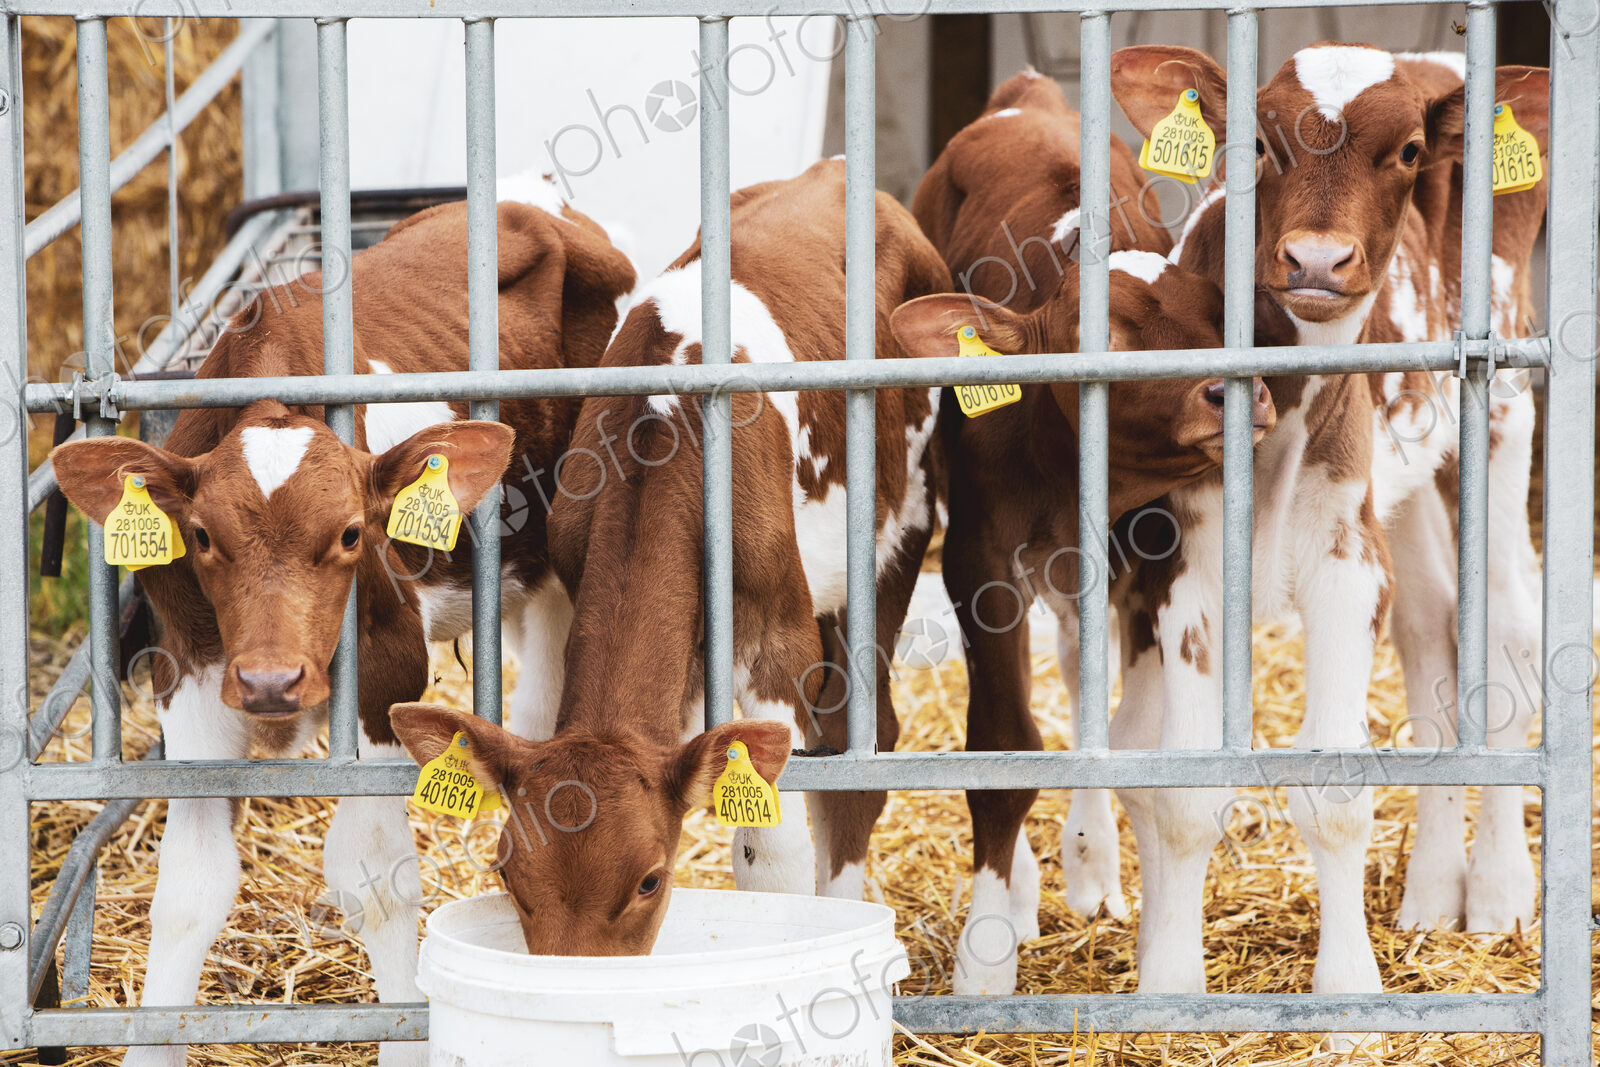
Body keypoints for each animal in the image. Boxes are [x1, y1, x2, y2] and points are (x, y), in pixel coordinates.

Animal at [49, 181, 637, 1067]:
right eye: (202, 536)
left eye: (354, 534)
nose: (270, 680)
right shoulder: (189, 672)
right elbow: (188, 890)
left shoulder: (386, 669)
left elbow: (377, 883)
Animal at [388, 158, 953, 956]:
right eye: (509, 877)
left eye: (650, 880)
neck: (662, 430)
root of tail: (839, 167)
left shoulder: (778, 633)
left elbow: (768, 849)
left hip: (900, 529)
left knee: (859, 735)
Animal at [902, 71, 1273, 994]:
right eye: (1097, 335)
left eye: (1218, 313)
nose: (1235, 393)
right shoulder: (978, 559)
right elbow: (1003, 746)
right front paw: (985, 954)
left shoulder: (1154, 547)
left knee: (1079, 670)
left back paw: (1090, 860)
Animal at [1090, 42, 1550, 1003]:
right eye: (1261, 143)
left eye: (1408, 151)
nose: (1316, 259)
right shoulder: (1187, 569)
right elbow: (1180, 786)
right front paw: (1169, 984)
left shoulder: (1345, 557)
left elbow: (1335, 790)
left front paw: (1348, 991)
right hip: (1401, 486)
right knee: (1433, 631)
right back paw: (1432, 894)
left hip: (1501, 411)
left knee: (1506, 637)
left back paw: (1495, 892)